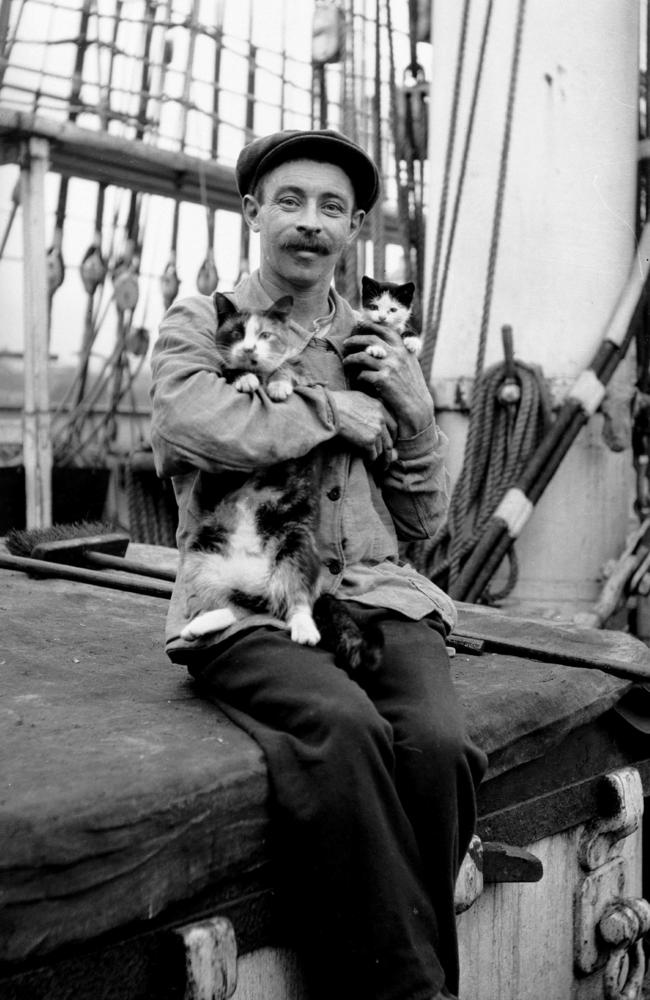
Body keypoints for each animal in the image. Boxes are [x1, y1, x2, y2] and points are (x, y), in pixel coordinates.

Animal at [177, 292, 382, 676]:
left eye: (265, 334)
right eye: (237, 332)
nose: (249, 350)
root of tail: (256, 586)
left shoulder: (302, 374)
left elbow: (288, 371)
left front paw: (279, 385)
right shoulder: (222, 370)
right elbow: (230, 371)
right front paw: (245, 379)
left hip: (295, 548)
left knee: (297, 603)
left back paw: (305, 630)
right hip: (201, 553)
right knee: (227, 608)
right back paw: (198, 625)